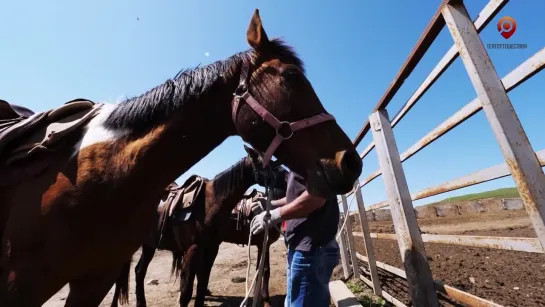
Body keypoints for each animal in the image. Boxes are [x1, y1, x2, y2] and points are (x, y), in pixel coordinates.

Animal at [110, 146, 284, 307]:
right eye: (268, 164)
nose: (287, 177)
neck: (211, 204)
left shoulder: (212, 249)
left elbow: (202, 283)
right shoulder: (194, 249)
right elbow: (187, 290)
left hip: (149, 245)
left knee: (139, 271)